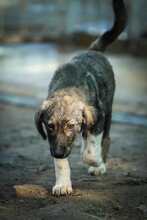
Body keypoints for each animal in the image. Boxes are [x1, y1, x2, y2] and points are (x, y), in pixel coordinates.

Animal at [34, 0, 126, 196]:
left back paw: (99, 162)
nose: (58, 153)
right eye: (50, 126)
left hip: (109, 110)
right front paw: (62, 184)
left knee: (105, 138)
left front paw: (96, 161)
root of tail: (93, 50)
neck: (68, 88)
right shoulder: (55, 143)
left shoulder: (98, 117)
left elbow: (91, 151)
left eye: (70, 125)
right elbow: (61, 164)